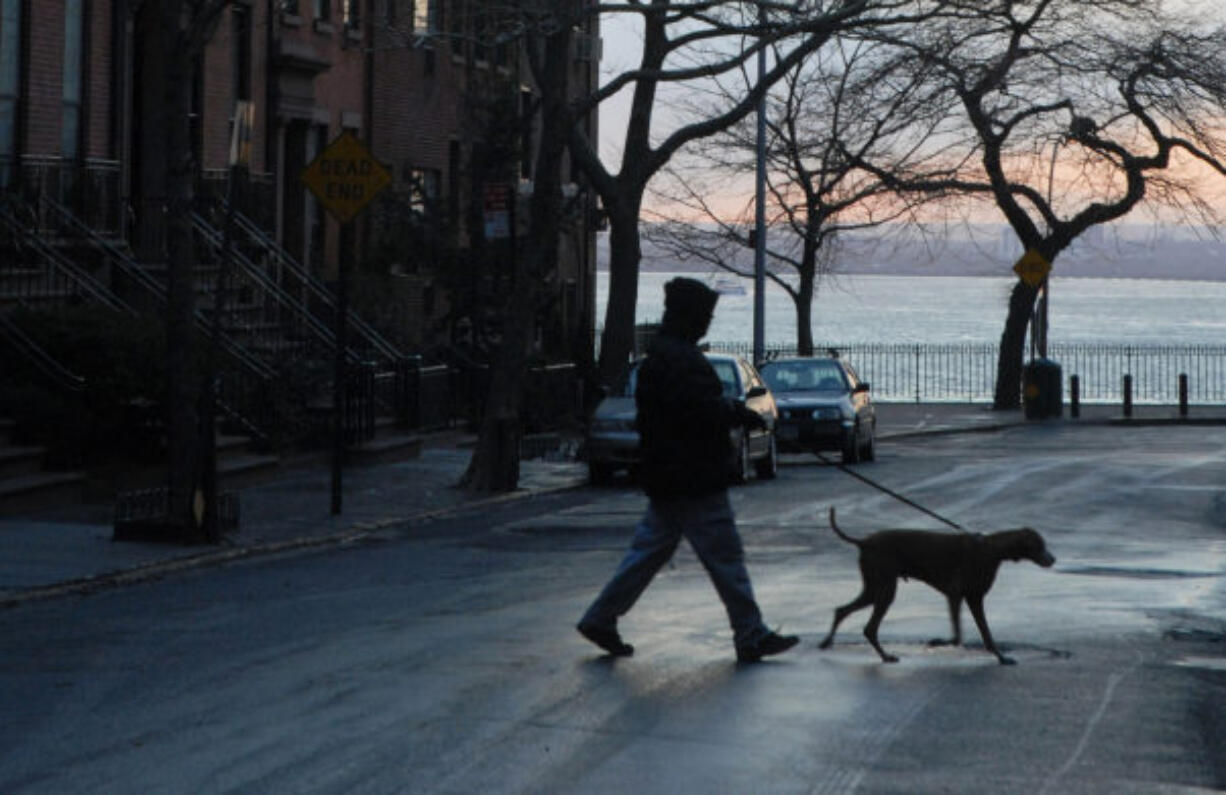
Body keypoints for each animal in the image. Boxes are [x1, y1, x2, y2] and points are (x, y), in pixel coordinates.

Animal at [814, 510, 1054, 662]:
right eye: (1039, 545)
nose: (1053, 559)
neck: (991, 550)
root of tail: (864, 541)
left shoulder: (974, 598)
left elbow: (986, 635)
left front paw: (1002, 658)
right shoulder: (956, 595)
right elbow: (958, 636)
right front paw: (937, 642)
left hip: (874, 587)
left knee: (842, 610)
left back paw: (827, 642)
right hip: (884, 588)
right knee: (869, 627)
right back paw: (885, 656)